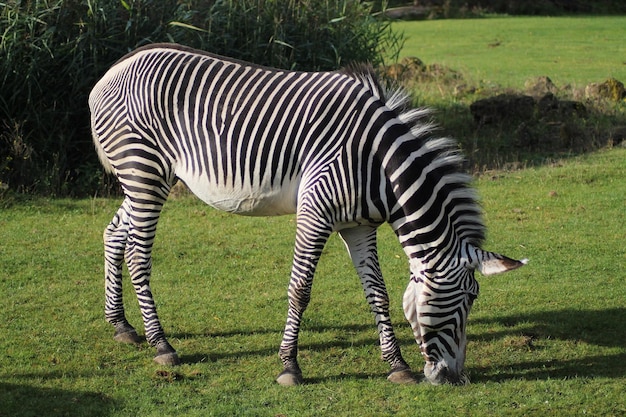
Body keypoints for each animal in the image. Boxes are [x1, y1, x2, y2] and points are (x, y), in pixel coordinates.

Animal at [89, 42, 528, 384]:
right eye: (467, 299)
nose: (454, 377)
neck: (379, 166)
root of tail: (113, 69)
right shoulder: (314, 212)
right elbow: (300, 289)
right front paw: (289, 367)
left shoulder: (359, 225)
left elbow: (378, 292)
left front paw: (397, 365)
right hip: (144, 172)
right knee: (137, 254)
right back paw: (160, 344)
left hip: (144, 179)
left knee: (114, 233)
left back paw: (121, 326)